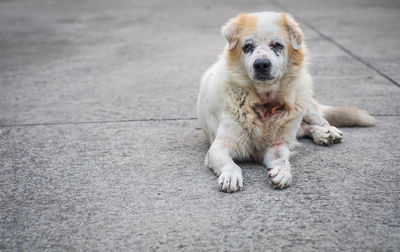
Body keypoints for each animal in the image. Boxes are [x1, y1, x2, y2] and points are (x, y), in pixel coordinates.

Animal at [195, 11, 376, 192]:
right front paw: (231, 176)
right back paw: (321, 135)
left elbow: (283, 159)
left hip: (304, 103)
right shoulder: (220, 146)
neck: (264, 102)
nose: (261, 64)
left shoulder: (276, 145)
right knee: (302, 130)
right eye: (247, 47)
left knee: (316, 120)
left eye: (276, 45)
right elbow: (230, 163)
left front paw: (283, 172)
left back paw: (328, 131)